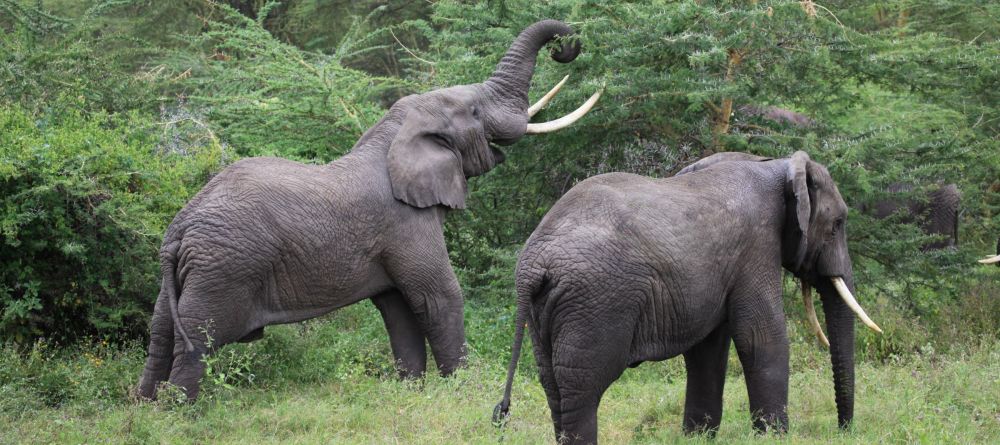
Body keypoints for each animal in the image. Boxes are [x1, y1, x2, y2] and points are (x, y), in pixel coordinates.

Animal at [136, 19, 602, 401]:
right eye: (473, 111)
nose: (568, 45)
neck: (394, 134)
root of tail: (179, 230)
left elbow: (398, 310)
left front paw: (412, 392)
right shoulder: (404, 222)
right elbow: (439, 296)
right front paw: (462, 391)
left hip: (188, 272)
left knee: (160, 332)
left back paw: (146, 406)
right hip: (225, 269)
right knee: (199, 338)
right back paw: (180, 412)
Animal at [493, 151, 881, 444]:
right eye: (838, 224)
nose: (843, 430)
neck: (776, 165)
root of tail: (533, 266)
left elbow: (706, 351)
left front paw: (697, 437)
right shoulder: (756, 245)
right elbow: (761, 337)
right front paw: (775, 438)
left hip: (546, 309)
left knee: (553, 384)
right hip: (595, 302)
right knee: (582, 388)